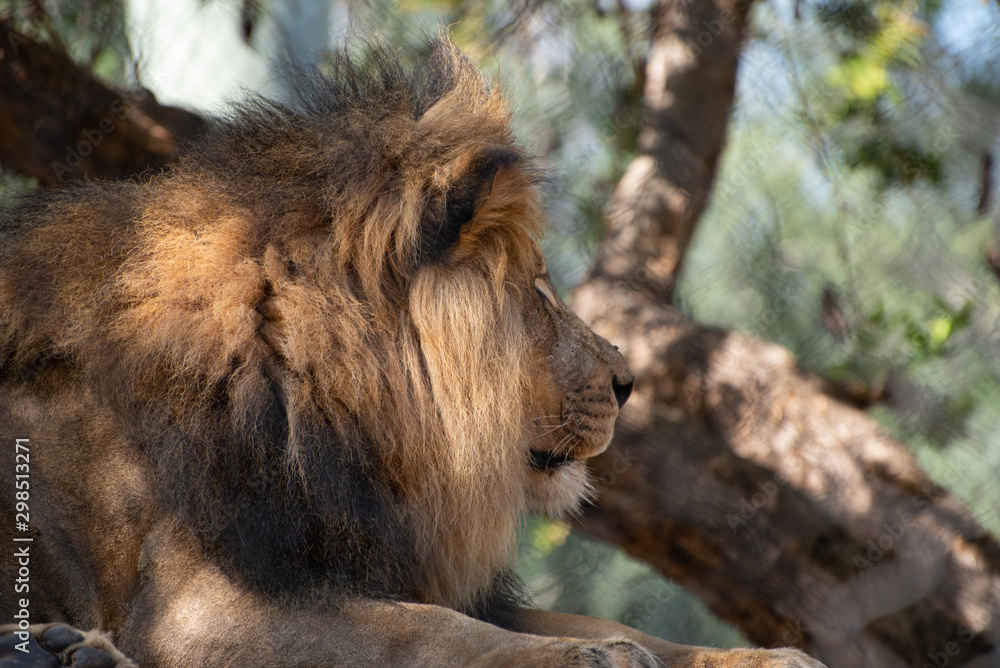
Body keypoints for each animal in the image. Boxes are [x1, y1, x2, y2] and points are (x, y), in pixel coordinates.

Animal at [0, 39, 825, 668]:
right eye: (538, 295)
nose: (628, 382)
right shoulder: (192, 607)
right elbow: (423, 630)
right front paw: (592, 657)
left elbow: (598, 620)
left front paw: (765, 656)